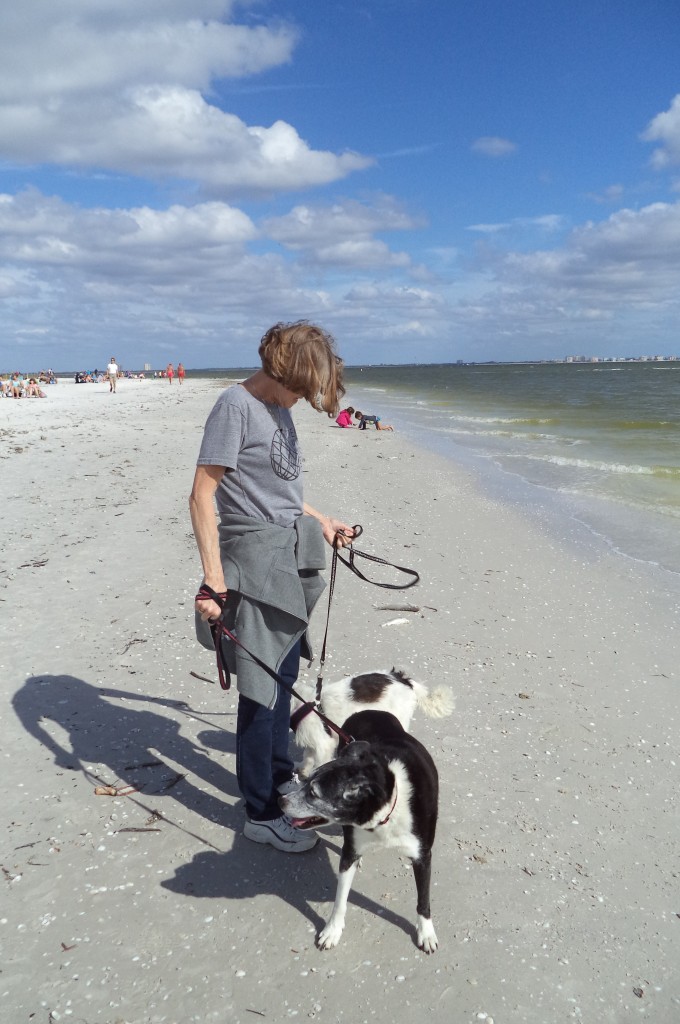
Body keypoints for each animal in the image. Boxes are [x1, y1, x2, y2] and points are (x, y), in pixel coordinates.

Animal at [280, 708, 440, 954]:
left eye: (313, 794)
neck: (385, 813)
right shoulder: (349, 852)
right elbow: (340, 898)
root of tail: (368, 710)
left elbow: (423, 900)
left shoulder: (422, 855)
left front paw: (426, 933)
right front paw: (332, 930)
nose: (280, 801)